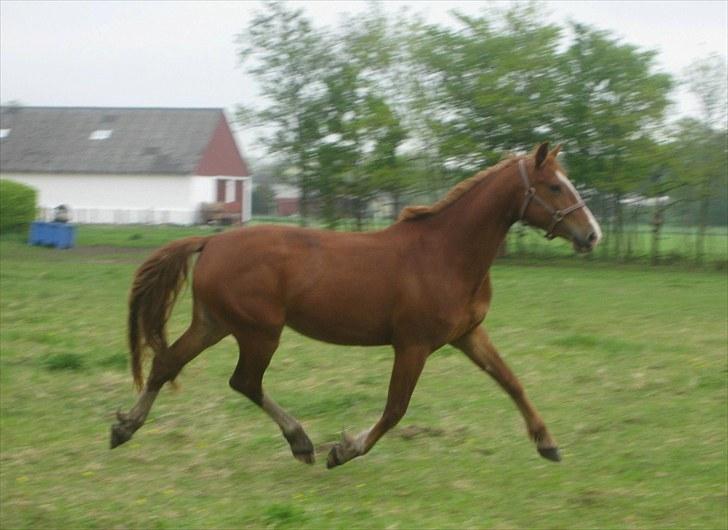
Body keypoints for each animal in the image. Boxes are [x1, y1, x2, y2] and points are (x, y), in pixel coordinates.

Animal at [112, 141, 604, 466]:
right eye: (554, 187)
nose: (592, 234)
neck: (445, 253)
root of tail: (211, 242)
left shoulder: (468, 334)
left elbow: (511, 382)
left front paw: (547, 443)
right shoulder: (413, 345)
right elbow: (395, 408)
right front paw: (344, 449)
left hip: (215, 323)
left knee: (168, 363)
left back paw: (124, 427)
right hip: (258, 331)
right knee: (243, 381)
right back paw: (302, 442)